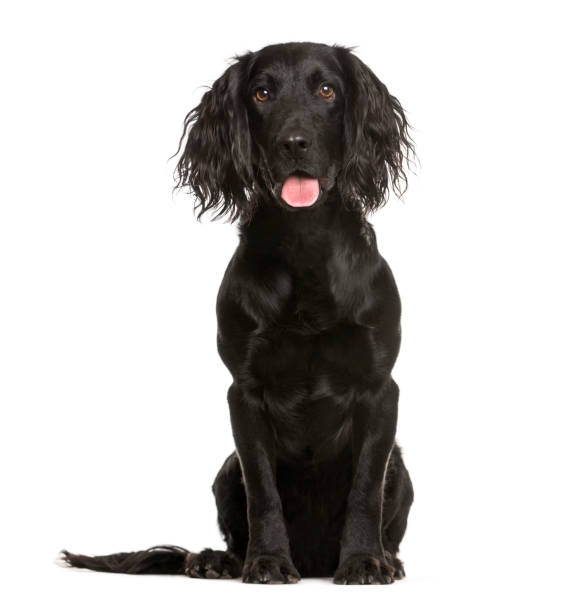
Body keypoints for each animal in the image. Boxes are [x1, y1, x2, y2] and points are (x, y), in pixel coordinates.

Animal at [64, 40, 414, 584]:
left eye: (327, 90)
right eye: (262, 93)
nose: (294, 143)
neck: (304, 245)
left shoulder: (380, 389)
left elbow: (364, 491)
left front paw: (363, 561)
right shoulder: (244, 393)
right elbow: (263, 491)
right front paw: (267, 561)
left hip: (402, 468)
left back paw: (387, 560)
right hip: (224, 470)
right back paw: (219, 560)